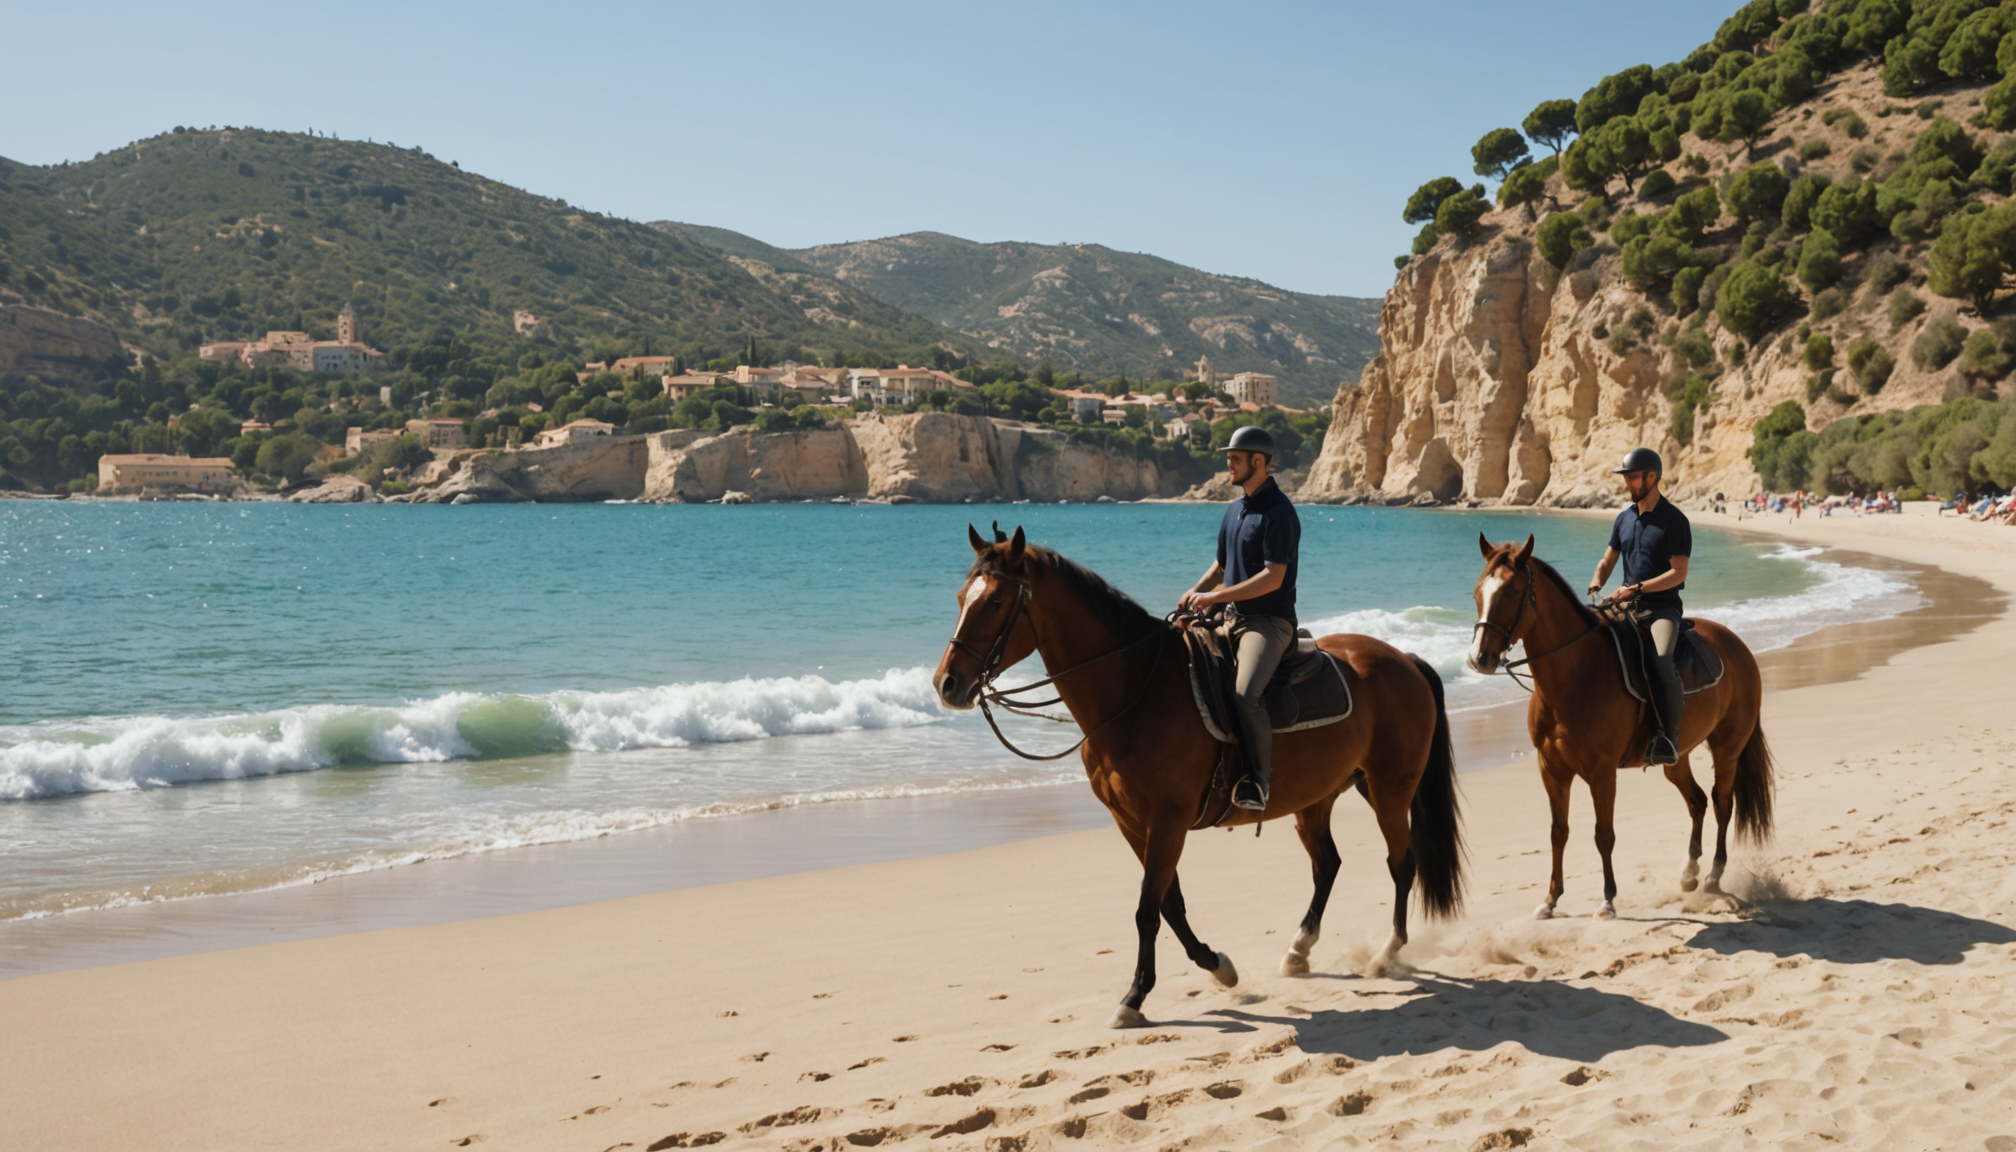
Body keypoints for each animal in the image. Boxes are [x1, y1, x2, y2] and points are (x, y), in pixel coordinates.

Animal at [934, 525, 1466, 1028]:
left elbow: (1147, 909)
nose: (947, 684)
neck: (1135, 691)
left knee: (1402, 864)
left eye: (996, 601)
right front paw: (1217, 966)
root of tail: (1404, 660)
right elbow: (1169, 905)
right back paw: (1298, 951)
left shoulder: (1167, 821)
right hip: (1322, 796)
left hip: (1389, 789)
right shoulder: (1133, 824)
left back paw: (1386, 953)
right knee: (1328, 865)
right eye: (961, 598)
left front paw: (1133, 998)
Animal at [1465, 535, 1775, 919]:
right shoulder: (1551, 768)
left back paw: (1713, 877)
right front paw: (1551, 900)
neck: (1575, 674)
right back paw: (1689, 873)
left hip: (1728, 748)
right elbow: (1558, 832)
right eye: (1478, 592)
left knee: (1722, 802)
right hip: (1678, 758)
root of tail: (1737, 645)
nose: (1479, 659)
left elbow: (1604, 834)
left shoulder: (1601, 771)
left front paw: (1608, 899)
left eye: (1511, 592)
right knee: (1698, 802)